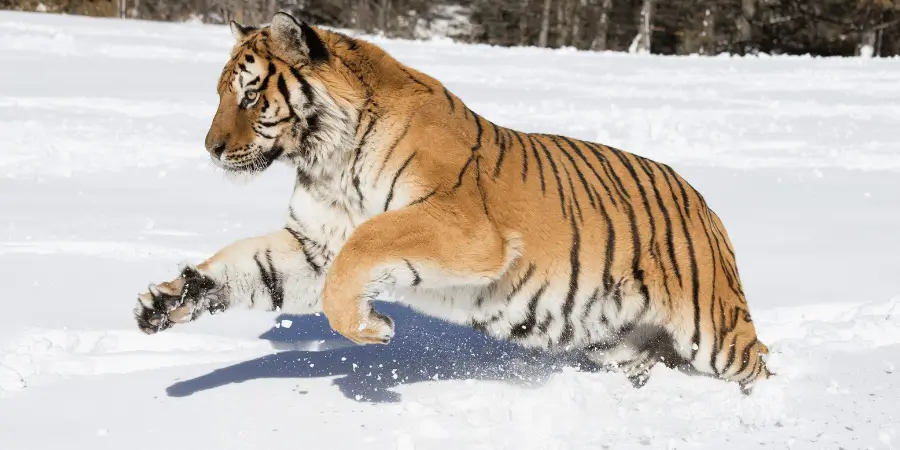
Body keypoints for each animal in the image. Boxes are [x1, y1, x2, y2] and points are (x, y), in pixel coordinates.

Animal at [134, 11, 773, 394]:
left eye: (248, 95)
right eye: (221, 93)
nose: (211, 148)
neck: (325, 157)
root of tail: (705, 203)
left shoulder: (462, 226)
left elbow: (368, 241)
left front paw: (375, 330)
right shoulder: (313, 245)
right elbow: (246, 266)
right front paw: (165, 301)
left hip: (714, 332)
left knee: (759, 363)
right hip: (614, 343)